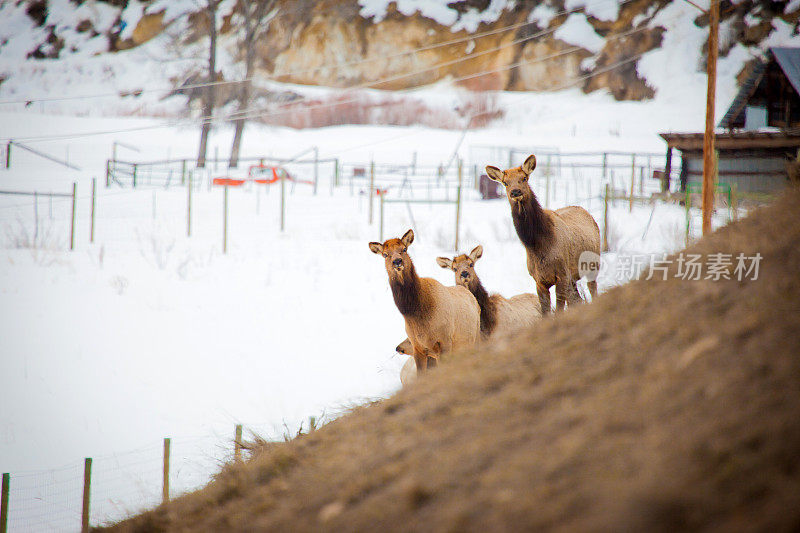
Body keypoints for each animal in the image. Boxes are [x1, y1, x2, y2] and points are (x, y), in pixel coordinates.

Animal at [370, 228, 482, 370]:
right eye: (385, 254)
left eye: (404, 249)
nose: (397, 261)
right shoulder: (418, 347)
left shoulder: (445, 342)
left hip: (475, 339)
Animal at [484, 154, 604, 312]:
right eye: (505, 182)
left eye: (524, 178)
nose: (515, 192)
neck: (538, 245)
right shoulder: (539, 280)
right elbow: (545, 312)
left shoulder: (562, 275)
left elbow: (559, 310)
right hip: (573, 278)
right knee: (576, 299)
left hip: (593, 265)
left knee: (592, 289)